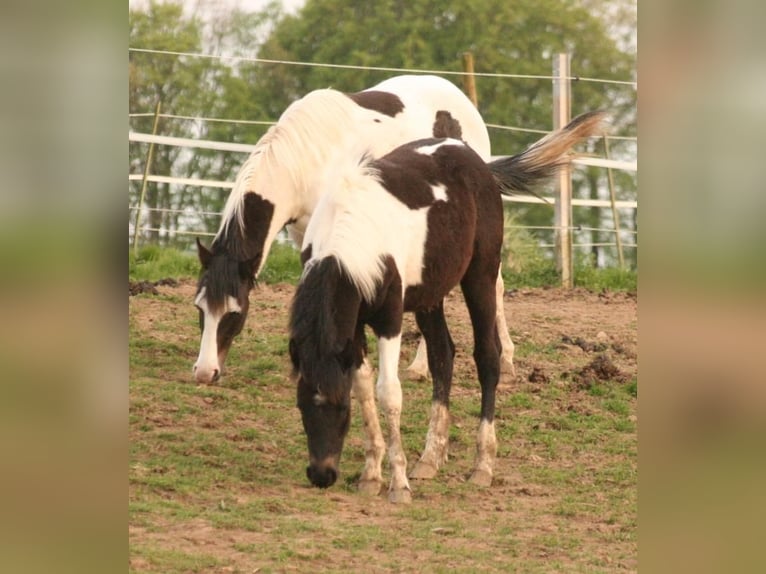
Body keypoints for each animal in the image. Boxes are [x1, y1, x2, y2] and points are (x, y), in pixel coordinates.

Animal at [192, 74, 520, 384]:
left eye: (234, 312)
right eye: (200, 308)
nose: (206, 372)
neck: (304, 159)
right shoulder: (304, 236)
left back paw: (452, 363)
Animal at [288, 112, 608, 504]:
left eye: (340, 408)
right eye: (302, 405)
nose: (321, 475)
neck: (350, 235)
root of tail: (476, 161)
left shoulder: (389, 319)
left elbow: (388, 393)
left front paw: (398, 484)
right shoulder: (353, 325)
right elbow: (365, 387)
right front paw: (371, 475)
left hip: (480, 276)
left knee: (487, 356)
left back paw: (482, 465)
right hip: (430, 296)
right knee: (443, 354)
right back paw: (430, 457)